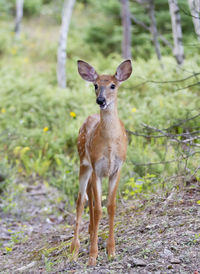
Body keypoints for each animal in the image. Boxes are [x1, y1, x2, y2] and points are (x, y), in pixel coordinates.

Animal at [70, 59, 133, 266]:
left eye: (113, 85)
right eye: (95, 85)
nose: (101, 100)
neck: (110, 143)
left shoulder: (117, 168)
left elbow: (111, 206)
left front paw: (111, 251)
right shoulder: (97, 168)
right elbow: (98, 209)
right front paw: (93, 256)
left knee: (87, 198)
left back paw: (90, 235)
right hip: (84, 164)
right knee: (81, 201)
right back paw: (74, 250)